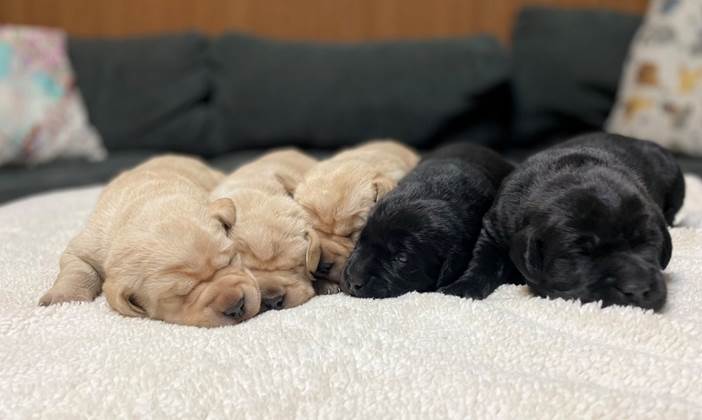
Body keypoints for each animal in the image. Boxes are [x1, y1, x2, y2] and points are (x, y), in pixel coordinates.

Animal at [38, 155, 260, 328]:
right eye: (178, 295)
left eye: (231, 260)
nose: (236, 307)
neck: (146, 204)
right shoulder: (85, 246)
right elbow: (78, 269)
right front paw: (64, 297)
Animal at [440, 133, 688, 310]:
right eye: (581, 252)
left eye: (649, 244)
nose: (636, 289)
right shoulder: (494, 229)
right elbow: (482, 261)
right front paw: (461, 289)